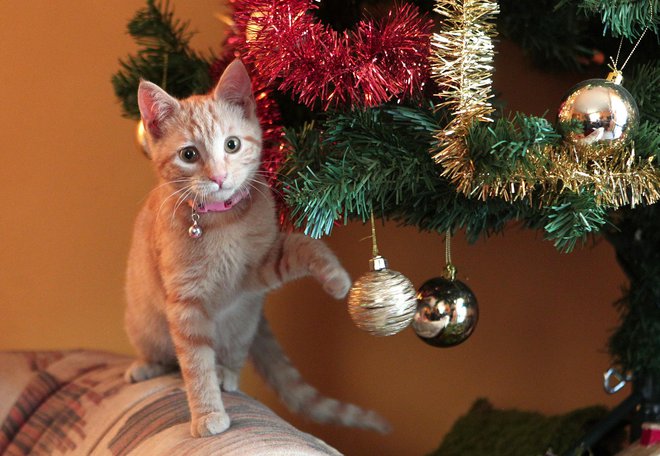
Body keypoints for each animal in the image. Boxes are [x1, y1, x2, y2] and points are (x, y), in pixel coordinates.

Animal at [124, 58, 386, 436]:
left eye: (232, 145)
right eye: (189, 154)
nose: (219, 177)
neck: (222, 222)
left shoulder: (258, 268)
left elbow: (304, 244)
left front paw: (336, 277)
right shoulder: (186, 303)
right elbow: (195, 364)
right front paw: (207, 413)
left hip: (244, 319)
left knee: (233, 355)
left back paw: (226, 374)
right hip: (144, 322)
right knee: (162, 354)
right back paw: (147, 366)